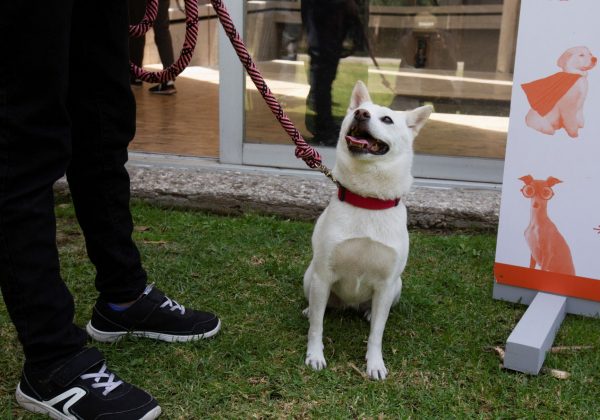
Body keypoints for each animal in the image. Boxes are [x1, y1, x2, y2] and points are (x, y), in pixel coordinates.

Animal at [304, 80, 432, 378]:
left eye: (387, 119)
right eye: (357, 112)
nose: (360, 114)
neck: (367, 199)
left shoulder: (385, 285)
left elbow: (377, 334)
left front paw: (375, 364)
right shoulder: (323, 276)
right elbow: (317, 327)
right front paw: (315, 355)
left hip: (397, 286)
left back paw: (370, 312)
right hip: (310, 277)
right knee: (317, 307)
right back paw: (308, 309)